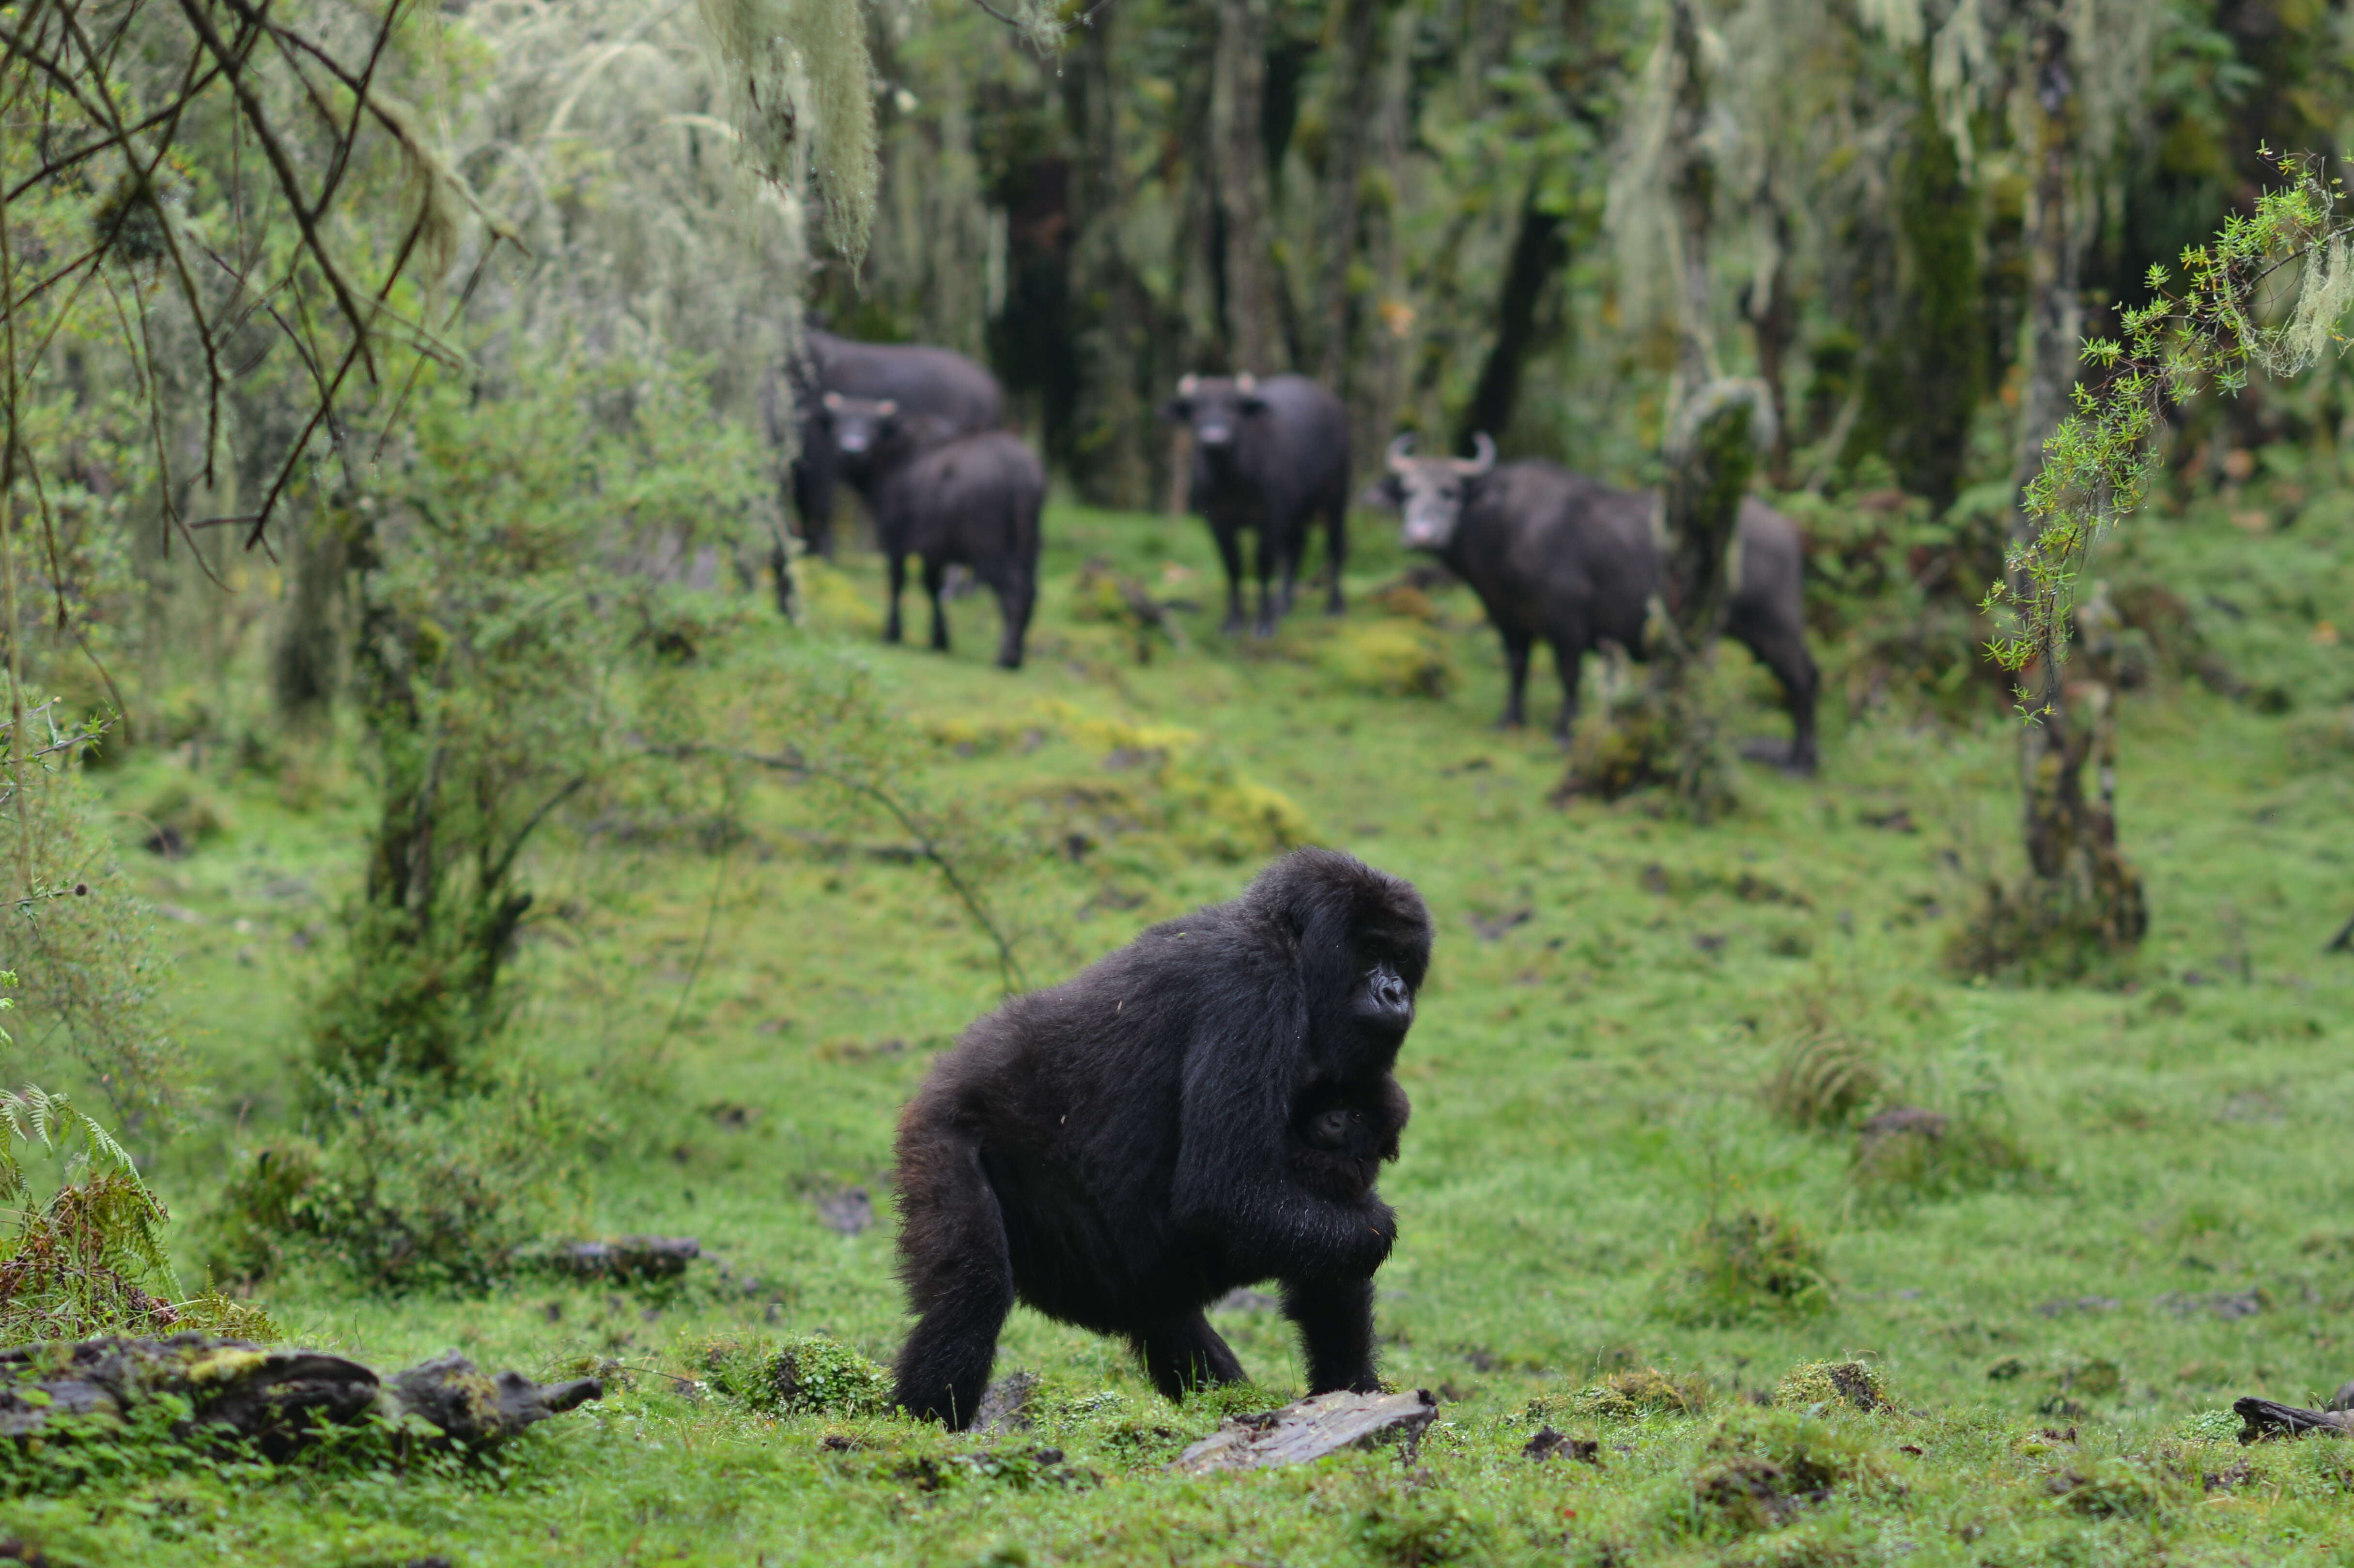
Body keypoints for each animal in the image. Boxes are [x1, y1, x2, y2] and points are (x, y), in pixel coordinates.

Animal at [833, 393, 1045, 668]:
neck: (897, 460)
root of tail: (1019, 468)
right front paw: (940, 638)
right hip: (1029, 545)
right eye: (839, 422)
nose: (853, 449)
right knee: (1030, 590)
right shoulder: (936, 550)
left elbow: (900, 581)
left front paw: (893, 632)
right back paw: (1016, 653)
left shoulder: (896, 538)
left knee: (1014, 592)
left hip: (990, 549)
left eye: (874, 426)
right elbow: (931, 585)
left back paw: (1006, 657)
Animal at [885, 847, 1422, 1422]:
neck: (1291, 947)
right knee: (973, 1292)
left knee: (1170, 1324)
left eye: (1402, 960)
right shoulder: (1252, 988)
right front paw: (1374, 1224)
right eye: (1371, 951)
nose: (1394, 993)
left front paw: (1352, 1389)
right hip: (943, 1133)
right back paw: (924, 1420)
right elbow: (1228, 1197)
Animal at [1153, 369, 1346, 630]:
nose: (1214, 439)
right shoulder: (1217, 520)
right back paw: (1284, 603)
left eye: (1233, 406)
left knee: (1335, 546)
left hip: (1337, 496)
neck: (1233, 481)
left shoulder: (1272, 516)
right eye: (1196, 408)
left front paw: (1265, 622)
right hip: (1297, 511)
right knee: (1296, 547)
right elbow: (1233, 565)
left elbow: (1264, 563)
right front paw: (1234, 620)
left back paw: (1335, 606)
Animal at [1375, 433, 1817, 767]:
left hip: (1774, 626)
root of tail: (1787, 529)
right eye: (1408, 493)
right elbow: (1517, 667)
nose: (1421, 534)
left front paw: (1563, 730)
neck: (1507, 529)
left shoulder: (1566, 618)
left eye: (1450, 493)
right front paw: (1509, 719)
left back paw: (1802, 762)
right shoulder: (1507, 617)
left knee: (1804, 677)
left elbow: (1568, 673)